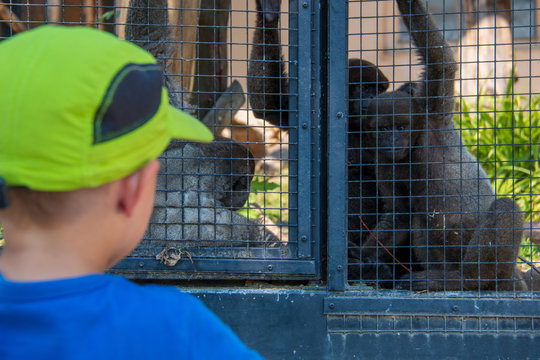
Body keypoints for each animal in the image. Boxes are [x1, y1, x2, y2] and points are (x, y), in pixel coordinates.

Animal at [360, 0, 524, 290]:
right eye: (384, 130)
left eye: (401, 128)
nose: (393, 142)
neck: (414, 146)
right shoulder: (386, 163)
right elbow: (399, 214)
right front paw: (362, 260)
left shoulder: (433, 114)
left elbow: (441, 63)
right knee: (419, 219)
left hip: (495, 267)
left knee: (506, 208)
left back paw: (466, 280)